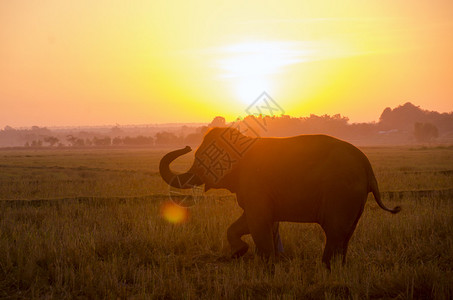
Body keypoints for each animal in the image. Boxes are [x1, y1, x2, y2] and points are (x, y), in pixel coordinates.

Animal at [159, 126, 400, 268]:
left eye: (202, 157)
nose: (186, 145)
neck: (243, 142)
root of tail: (368, 168)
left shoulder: (255, 185)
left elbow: (258, 222)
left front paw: (267, 267)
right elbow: (251, 222)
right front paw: (240, 253)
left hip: (341, 194)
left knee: (335, 233)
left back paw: (326, 267)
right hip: (354, 200)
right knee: (346, 235)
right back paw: (339, 267)